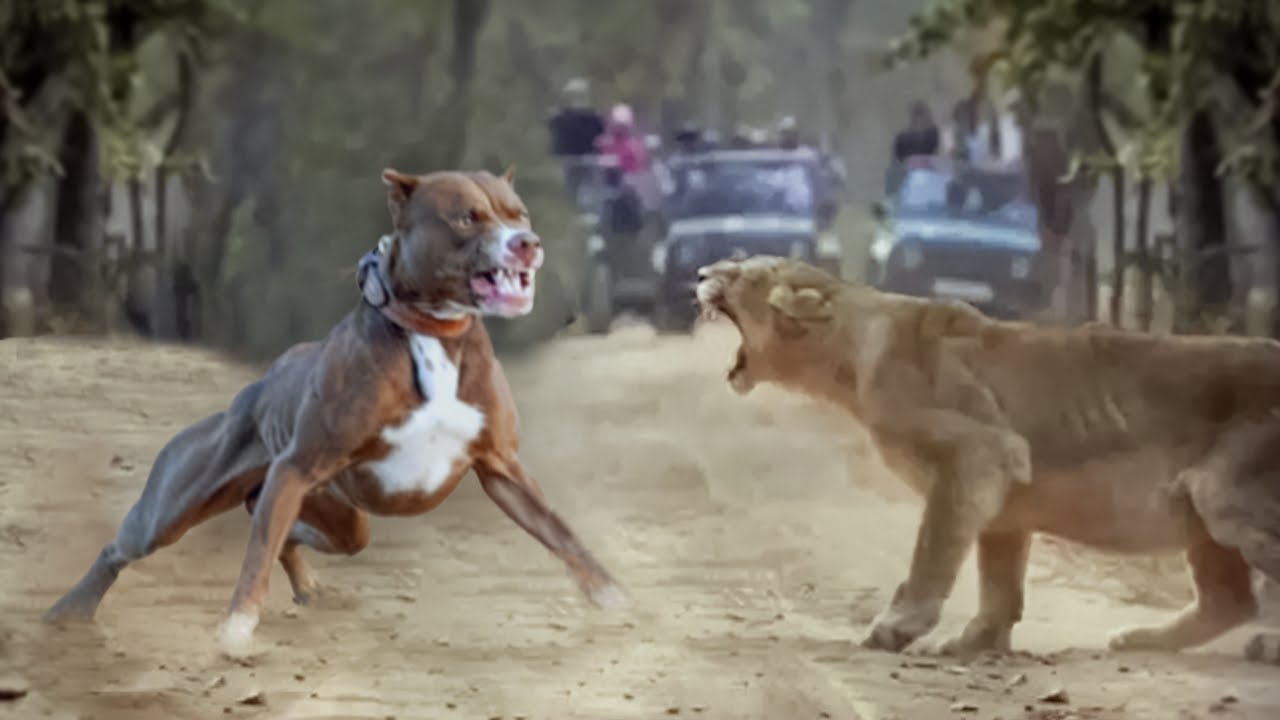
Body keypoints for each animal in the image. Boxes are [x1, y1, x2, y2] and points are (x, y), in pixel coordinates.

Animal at [695, 254, 1280, 661]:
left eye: (739, 271)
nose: (700, 271)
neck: (850, 357)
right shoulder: (1005, 497)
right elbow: (998, 583)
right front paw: (974, 643)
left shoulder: (979, 452)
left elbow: (932, 552)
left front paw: (899, 625)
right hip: (1201, 513)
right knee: (1229, 600)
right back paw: (1142, 638)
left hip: (1223, 495)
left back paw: (1264, 647)